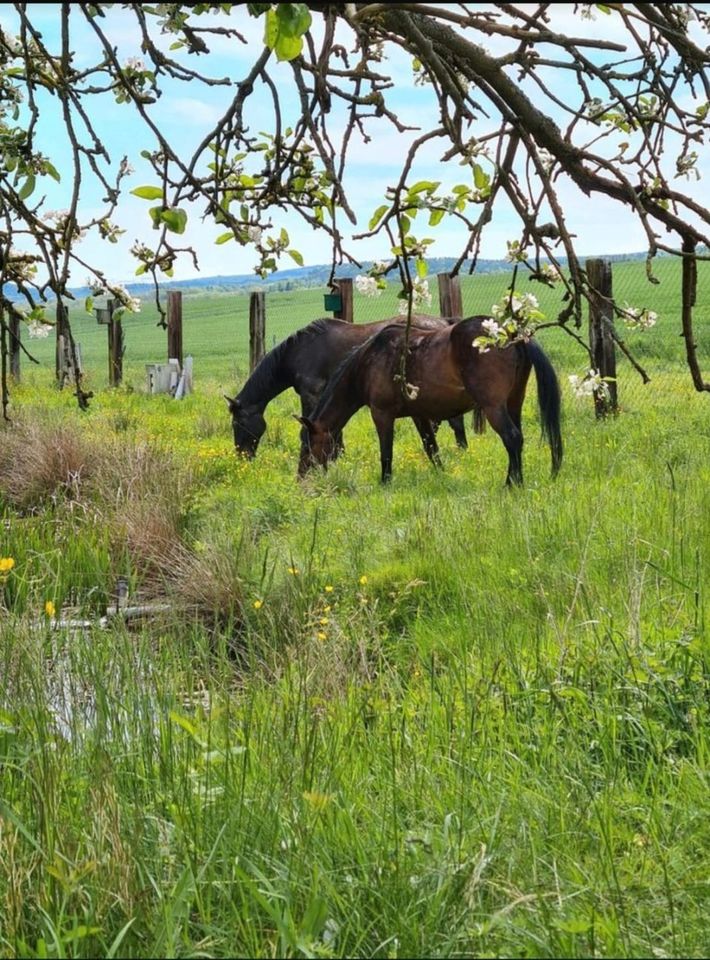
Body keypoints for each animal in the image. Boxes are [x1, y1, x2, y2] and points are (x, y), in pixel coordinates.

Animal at [225, 316, 470, 458]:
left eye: (237, 423)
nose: (242, 456)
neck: (298, 353)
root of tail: (443, 324)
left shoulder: (311, 394)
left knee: (454, 421)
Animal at [298, 318, 564, 488]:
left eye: (307, 445)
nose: (301, 478)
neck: (368, 363)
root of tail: (512, 334)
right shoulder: (420, 415)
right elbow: (431, 448)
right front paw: (441, 475)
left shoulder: (381, 414)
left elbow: (386, 453)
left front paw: (385, 483)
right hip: (513, 402)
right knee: (517, 439)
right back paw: (516, 481)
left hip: (494, 407)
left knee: (512, 438)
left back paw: (510, 485)